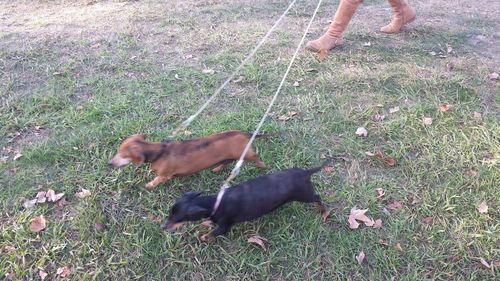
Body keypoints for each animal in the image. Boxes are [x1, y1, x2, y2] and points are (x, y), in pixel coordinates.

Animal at [108, 131, 268, 188]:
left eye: (122, 155)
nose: (109, 163)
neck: (160, 152)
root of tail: (243, 134)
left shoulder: (164, 175)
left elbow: (157, 180)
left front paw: (149, 185)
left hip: (245, 154)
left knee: (255, 156)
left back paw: (262, 165)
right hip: (230, 156)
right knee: (226, 162)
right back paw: (217, 169)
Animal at [161, 160, 332, 241]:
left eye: (177, 219)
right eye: (170, 214)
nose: (162, 227)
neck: (215, 203)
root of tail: (305, 172)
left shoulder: (224, 227)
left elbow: (212, 234)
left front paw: (203, 237)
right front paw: (206, 223)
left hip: (304, 195)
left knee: (318, 198)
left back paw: (324, 212)